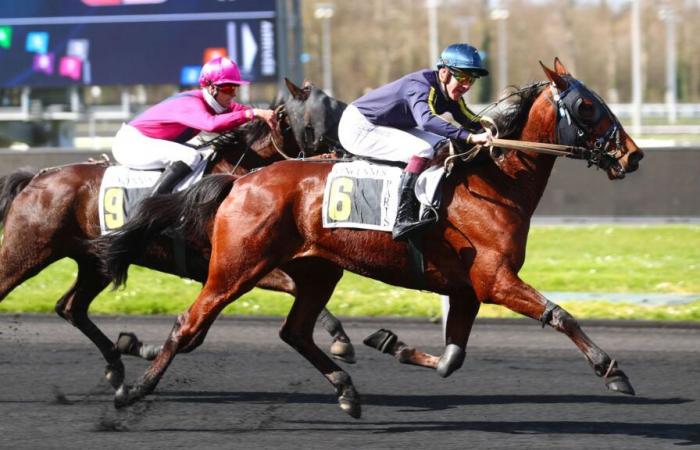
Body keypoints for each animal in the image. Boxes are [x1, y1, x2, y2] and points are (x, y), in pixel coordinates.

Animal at [0, 80, 352, 390]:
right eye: (319, 116)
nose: (343, 152)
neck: (234, 175)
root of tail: (35, 178)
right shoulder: (229, 261)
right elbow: (289, 286)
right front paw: (339, 340)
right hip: (26, 250)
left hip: (95, 262)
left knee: (71, 307)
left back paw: (117, 362)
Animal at [105, 59, 644, 418]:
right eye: (587, 106)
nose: (633, 155)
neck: (496, 182)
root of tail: (242, 181)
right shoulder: (494, 279)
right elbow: (559, 314)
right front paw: (613, 371)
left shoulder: (467, 289)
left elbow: (451, 359)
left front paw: (391, 342)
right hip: (235, 268)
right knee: (189, 324)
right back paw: (132, 389)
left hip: (316, 270)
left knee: (294, 331)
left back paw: (347, 390)